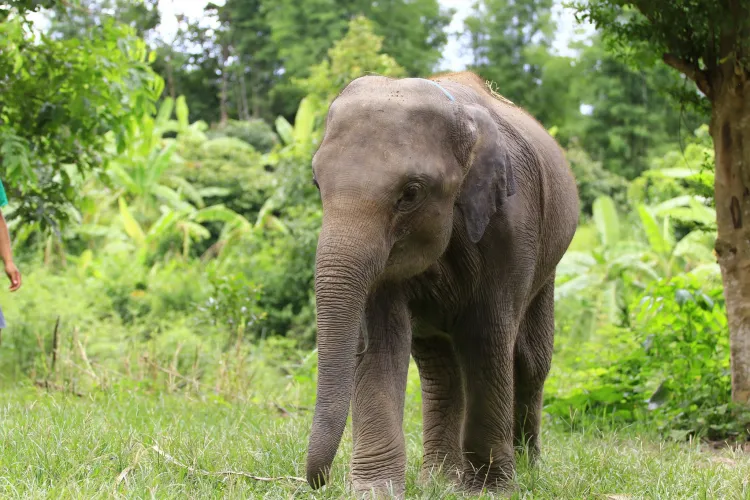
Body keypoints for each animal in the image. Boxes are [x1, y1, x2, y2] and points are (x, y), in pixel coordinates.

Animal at [304, 71, 579, 497]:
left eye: (410, 193)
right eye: (317, 183)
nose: (319, 482)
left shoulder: (512, 227)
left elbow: (486, 338)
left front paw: (490, 490)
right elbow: (382, 341)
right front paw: (375, 490)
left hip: (549, 260)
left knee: (529, 361)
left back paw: (527, 469)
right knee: (440, 368)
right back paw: (440, 479)